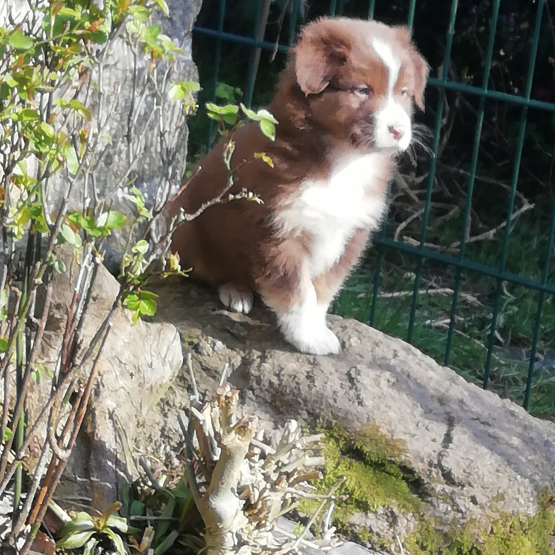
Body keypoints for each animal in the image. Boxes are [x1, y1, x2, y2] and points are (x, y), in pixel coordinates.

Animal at [169, 18, 430, 356]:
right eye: (362, 90)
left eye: (404, 93)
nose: (398, 130)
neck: (344, 161)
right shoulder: (278, 229)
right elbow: (296, 290)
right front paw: (309, 338)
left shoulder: (352, 233)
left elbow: (321, 290)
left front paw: (317, 328)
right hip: (186, 228)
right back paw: (235, 291)